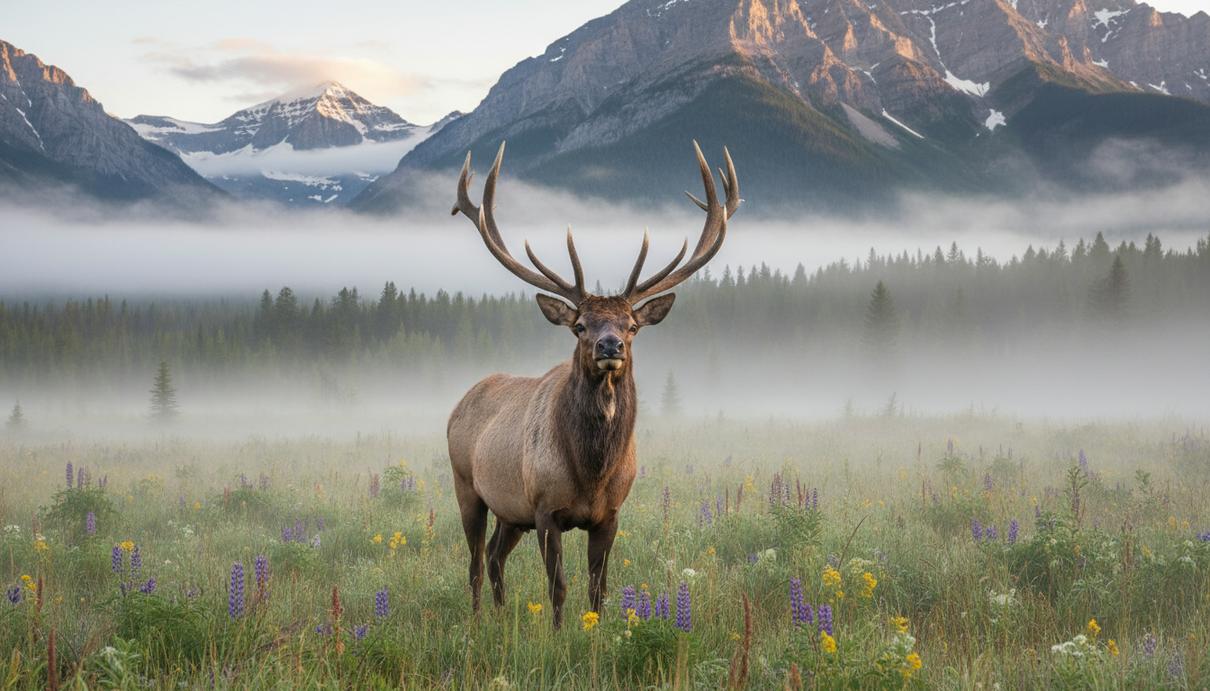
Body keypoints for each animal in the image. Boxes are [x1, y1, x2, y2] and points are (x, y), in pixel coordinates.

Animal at [447, 141, 739, 628]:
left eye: (633, 326)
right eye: (580, 325)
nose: (610, 345)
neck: (592, 471)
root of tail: (460, 402)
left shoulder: (610, 514)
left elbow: (597, 588)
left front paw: (596, 631)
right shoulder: (545, 508)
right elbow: (559, 587)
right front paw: (559, 634)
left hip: (511, 511)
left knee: (492, 555)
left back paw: (502, 615)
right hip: (467, 484)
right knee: (472, 559)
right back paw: (475, 620)